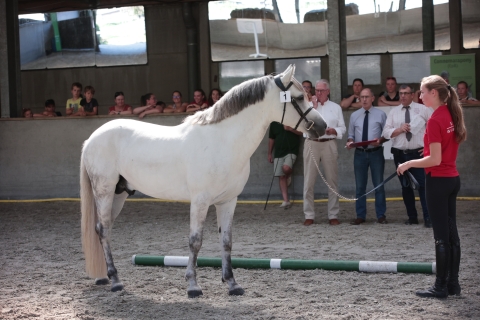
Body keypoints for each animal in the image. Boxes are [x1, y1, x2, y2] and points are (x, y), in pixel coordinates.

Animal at [80, 64, 328, 298]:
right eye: (299, 97)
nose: (322, 127)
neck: (223, 141)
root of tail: (92, 138)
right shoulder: (200, 201)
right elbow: (195, 240)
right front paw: (193, 286)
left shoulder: (228, 201)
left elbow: (226, 241)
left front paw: (232, 284)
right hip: (104, 191)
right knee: (103, 230)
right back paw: (115, 281)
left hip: (119, 193)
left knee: (104, 229)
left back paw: (105, 277)